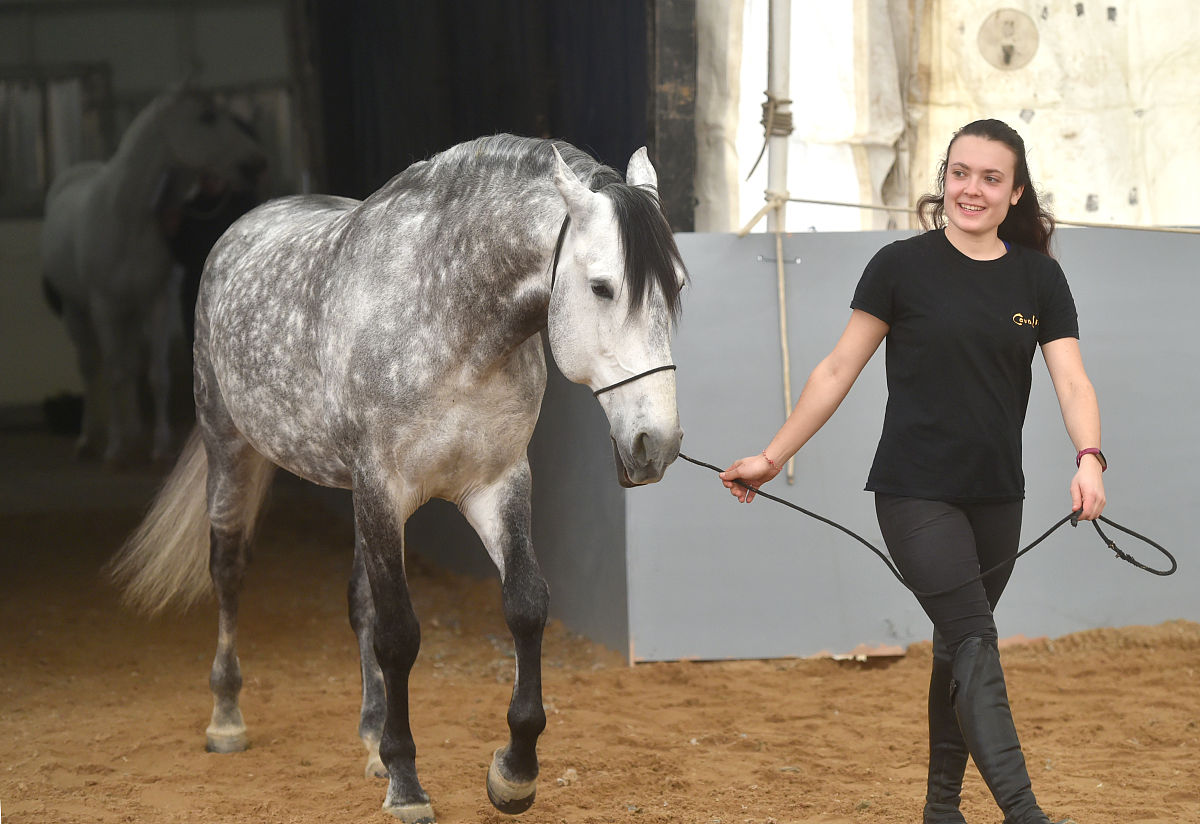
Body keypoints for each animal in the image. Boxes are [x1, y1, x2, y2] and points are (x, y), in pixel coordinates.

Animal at [40, 87, 267, 464]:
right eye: (206, 117)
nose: (256, 163)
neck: (127, 218)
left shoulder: (158, 301)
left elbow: (157, 375)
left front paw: (161, 445)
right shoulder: (104, 308)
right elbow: (114, 373)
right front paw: (115, 448)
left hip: (132, 313)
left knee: (133, 362)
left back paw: (134, 429)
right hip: (77, 312)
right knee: (91, 368)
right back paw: (90, 438)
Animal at [109, 134, 686, 822]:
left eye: (677, 286)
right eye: (602, 287)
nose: (657, 445)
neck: (452, 321)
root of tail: (246, 223)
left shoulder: (496, 484)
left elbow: (524, 606)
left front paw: (513, 773)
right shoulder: (384, 489)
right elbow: (399, 634)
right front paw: (406, 782)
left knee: (358, 599)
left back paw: (369, 736)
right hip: (233, 452)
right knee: (229, 571)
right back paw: (227, 717)